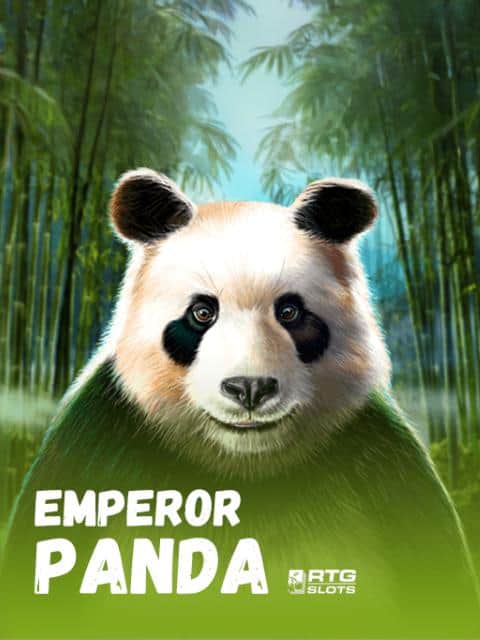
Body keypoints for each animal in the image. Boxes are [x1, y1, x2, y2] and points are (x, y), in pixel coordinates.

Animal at [2, 169, 478, 639]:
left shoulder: (379, 460)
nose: (249, 388)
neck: (242, 470)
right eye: (202, 313)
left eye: (290, 312)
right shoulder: (99, 443)